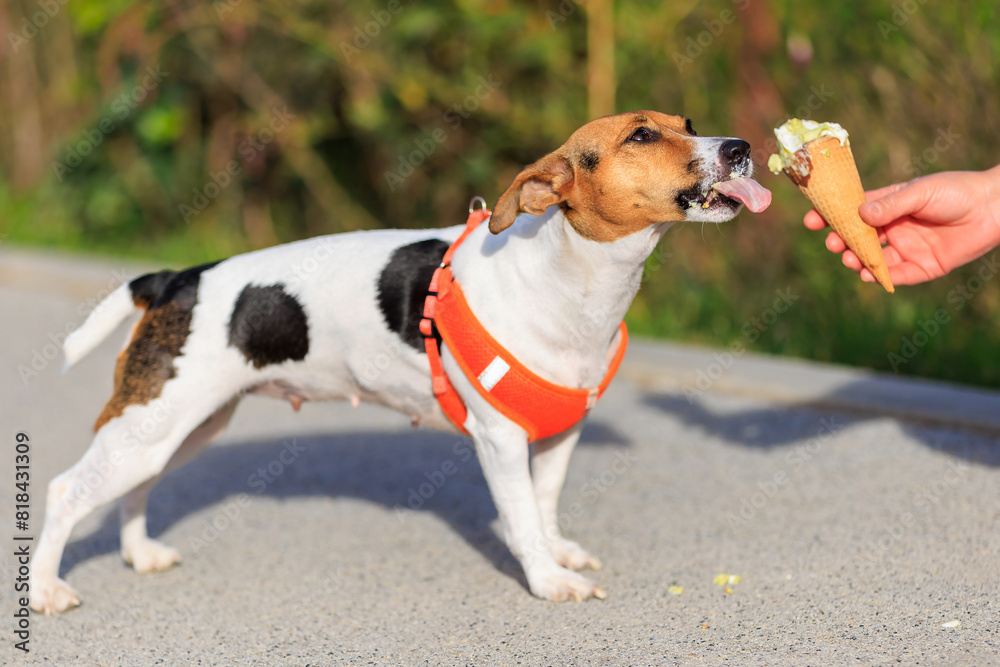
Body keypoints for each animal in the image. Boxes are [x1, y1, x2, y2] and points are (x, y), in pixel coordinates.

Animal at [29, 111, 764, 616]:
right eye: (641, 136)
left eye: (688, 125)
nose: (741, 148)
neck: (572, 276)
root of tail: (177, 279)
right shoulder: (501, 442)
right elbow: (523, 520)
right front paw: (548, 578)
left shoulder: (560, 433)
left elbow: (546, 506)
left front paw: (558, 553)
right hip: (151, 425)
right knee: (67, 491)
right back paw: (46, 590)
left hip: (180, 427)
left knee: (135, 488)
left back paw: (139, 553)